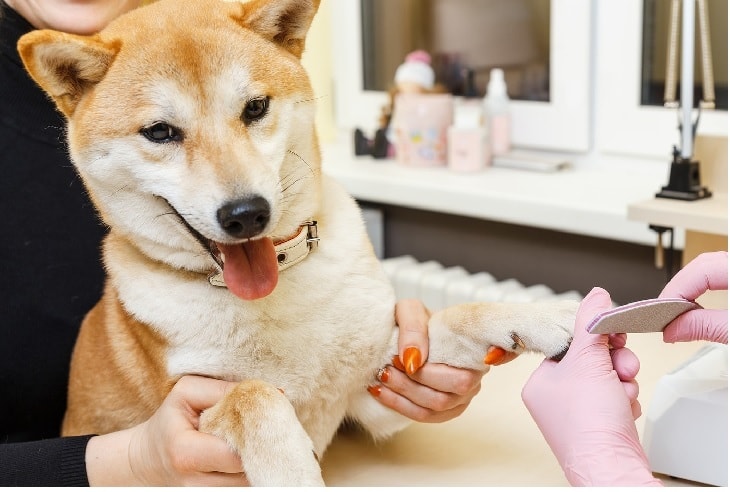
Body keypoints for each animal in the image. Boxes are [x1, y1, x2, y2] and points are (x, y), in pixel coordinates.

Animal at [17, 0, 576, 484]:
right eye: (159, 132)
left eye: (255, 107)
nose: (246, 214)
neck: (276, 292)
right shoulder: (193, 404)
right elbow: (256, 398)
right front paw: (292, 471)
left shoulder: (370, 388)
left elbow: (454, 318)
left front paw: (542, 317)